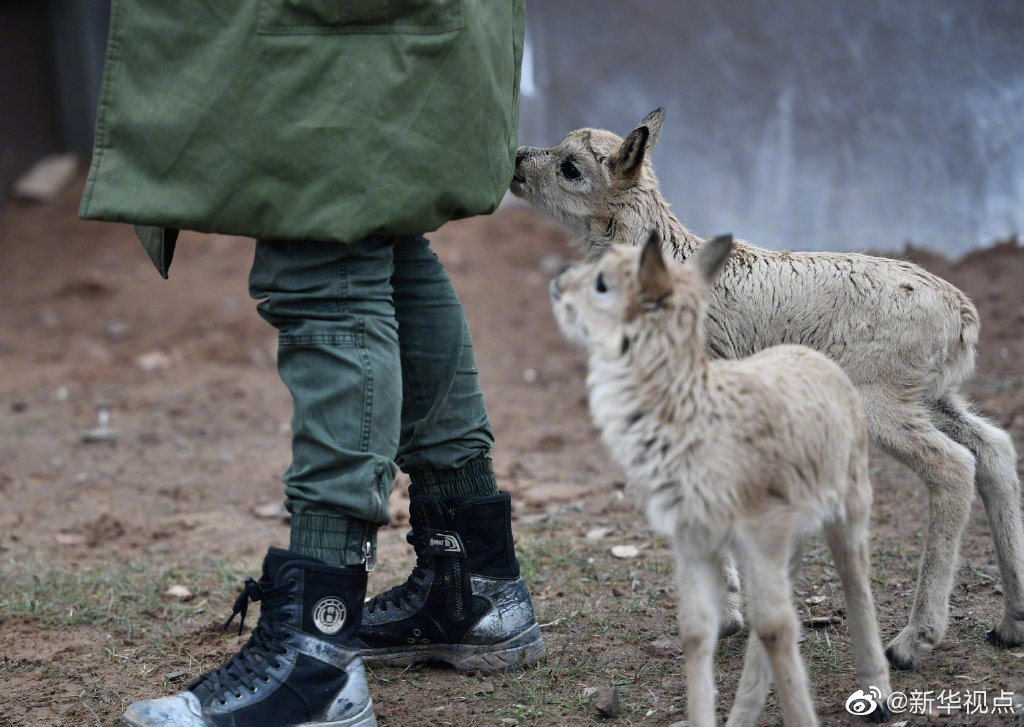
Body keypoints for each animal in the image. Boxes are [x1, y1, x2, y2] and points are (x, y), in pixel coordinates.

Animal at [516, 105, 1024, 667]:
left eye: (571, 168)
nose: (516, 161)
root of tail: (962, 315)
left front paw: (727, 616)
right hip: (932, 396)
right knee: (994, 449)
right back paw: (1011, 622)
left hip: (881, 399)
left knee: (954, 468)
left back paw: (913, 641)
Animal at [548, 233, 892, 727]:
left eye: (602, 283)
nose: (558, 282)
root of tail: (814, 356)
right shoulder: (694, 539)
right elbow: (698, 631)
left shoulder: (759, 533)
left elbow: (776, 627)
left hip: (848, 506)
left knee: (853, 580)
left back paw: (879, 694)